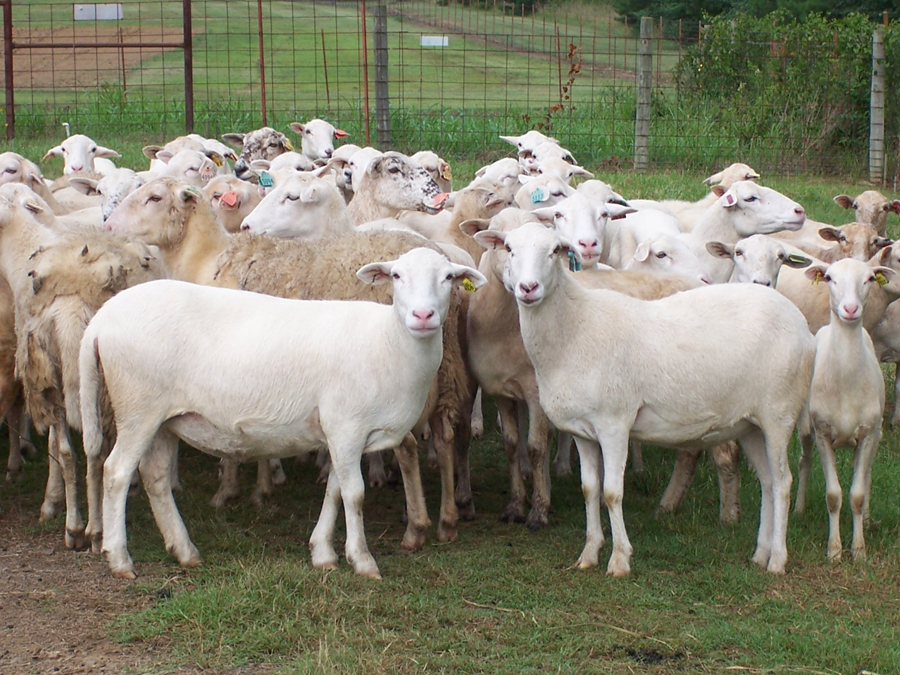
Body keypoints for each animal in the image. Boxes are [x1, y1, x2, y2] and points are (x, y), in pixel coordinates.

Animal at [80, 250, 485, 579]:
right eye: (397, 276)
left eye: (448, 277)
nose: (423, 315)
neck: (387, 342)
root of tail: (101, 319)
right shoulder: (346, 426)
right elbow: (354, 494)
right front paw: (362, 560)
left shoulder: (340, 433)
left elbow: (335, 490)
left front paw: (323, 553)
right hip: (138, 408)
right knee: (116, 473)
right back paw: (120, 559)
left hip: (165, 418)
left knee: (156, 478)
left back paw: (185, 551)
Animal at [104, 177, 475, 542]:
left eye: (154, 198)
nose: (108, 224)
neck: (207, 260)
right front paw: (264, 485)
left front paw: (231, 489)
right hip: (445, 368)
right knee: (444, 435)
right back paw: (447, 518)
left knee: (409, 446)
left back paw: (417, 525)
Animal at [476, 221, 815, 575]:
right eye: (509, 248)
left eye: (555, 250)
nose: (528, 288)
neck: (576, 327)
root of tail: (798, 320)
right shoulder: (581, 431)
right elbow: (589, 489)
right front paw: (589, 553)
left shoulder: (614, 424)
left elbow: (612, 492)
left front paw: (619, 560)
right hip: (749, 423)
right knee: (767, 482)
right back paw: (760, 553)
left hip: (779, 414)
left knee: (783, 482)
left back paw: (777, 560)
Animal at [793, 259, 891, 561]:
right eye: (829, 278)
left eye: (869, 278)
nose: (850, 309)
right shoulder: (824, 433)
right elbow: (833, 496)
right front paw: (834, 551)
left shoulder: (869, 433)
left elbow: (856, 495)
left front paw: (858, 550)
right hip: (806, 428)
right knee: (804, 461)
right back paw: (798, 509)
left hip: (877, 434)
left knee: (867, 474)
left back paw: (868, 520)